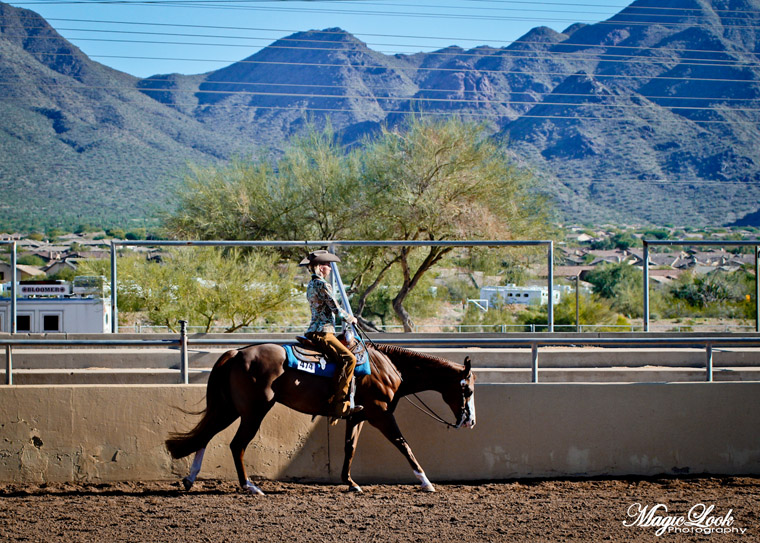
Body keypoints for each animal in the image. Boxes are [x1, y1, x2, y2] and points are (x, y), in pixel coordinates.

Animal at [166, 342, 476, 496]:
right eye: (468, 389)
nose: (470, 422)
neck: (386, 367)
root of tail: (237, 353)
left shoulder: (358, 416)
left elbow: (350, 448)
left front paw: (350, 483)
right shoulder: (381, 414)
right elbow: (404, 445)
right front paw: (426, 481)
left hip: (229, 408)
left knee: (205, 435)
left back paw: (190, 479)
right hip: (253, 412)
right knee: (236, 445)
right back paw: (250, 486)